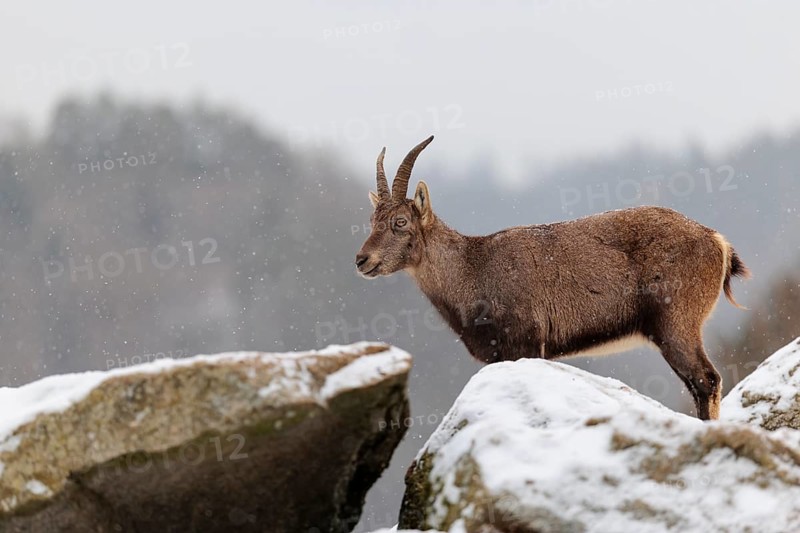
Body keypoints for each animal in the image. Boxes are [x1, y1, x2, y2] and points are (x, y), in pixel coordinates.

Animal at [355, 136, 750, 420]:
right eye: (372, 220)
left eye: (400, 222)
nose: (362, 260)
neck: (473, 269)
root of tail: (717, 241)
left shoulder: (528, 342)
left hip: (675, 323)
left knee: (706, 380)